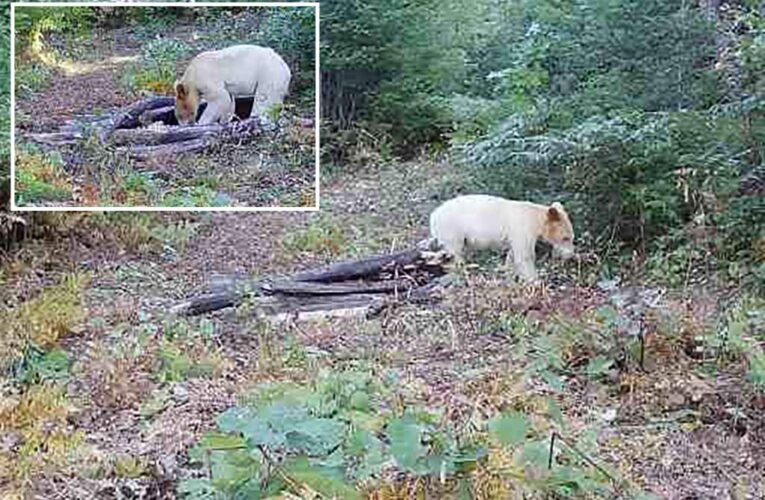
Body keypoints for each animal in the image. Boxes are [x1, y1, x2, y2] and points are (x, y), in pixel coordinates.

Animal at [430, 194, 572, 282]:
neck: (536, 218)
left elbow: (512, 254)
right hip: (452, 229)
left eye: (571, 237)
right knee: (456, 252)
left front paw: (509, 274)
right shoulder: (521, 229)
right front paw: (535, 281)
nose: (570, 255)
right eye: (566, 238)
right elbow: (524, 256)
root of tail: (434, 215)